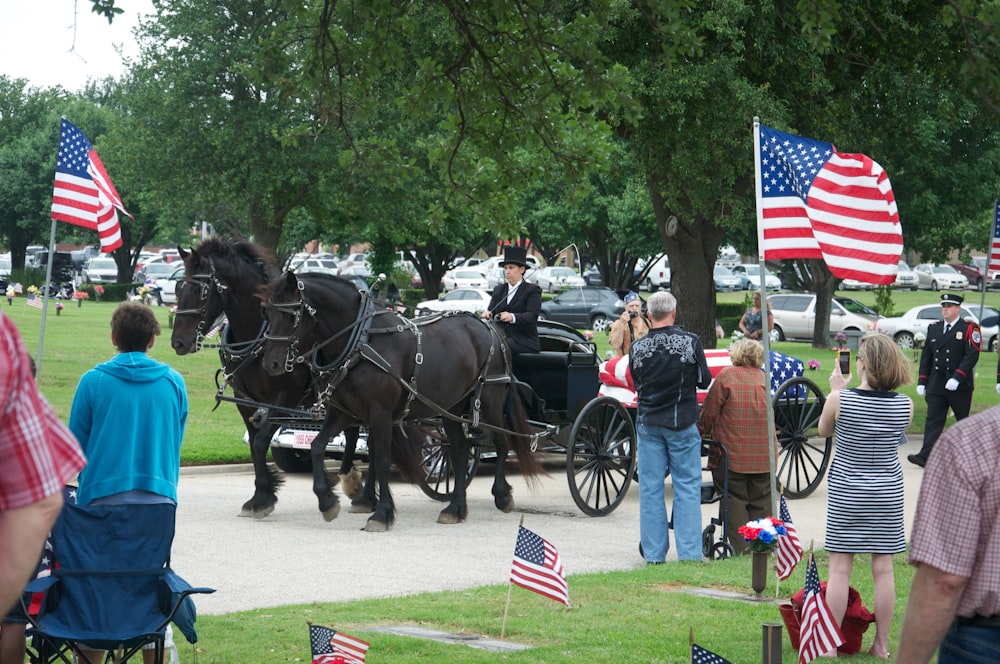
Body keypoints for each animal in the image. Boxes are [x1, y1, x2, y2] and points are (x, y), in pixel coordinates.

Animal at [168, 239, 414, 520]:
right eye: (179, 287)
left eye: (201, 290)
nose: (178, 342)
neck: (259, 333)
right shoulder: (246, 401)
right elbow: (254, 442)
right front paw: (261, 495)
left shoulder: (286, 397)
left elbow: (261, 441)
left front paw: (265, 497)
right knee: (357, 435)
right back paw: (354, 485)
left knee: (370, 443)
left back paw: (364, 495)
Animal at [258, 270, 540, 528]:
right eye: (267, 313)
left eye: (290, 315)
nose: (271, 364)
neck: (360, 340)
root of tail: (491, 326)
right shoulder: (344, 413)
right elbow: (317, 447)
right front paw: (328, 501)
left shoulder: (380, 414)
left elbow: (382, 460)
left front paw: (381, 513)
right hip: (451, 407)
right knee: (460, 449)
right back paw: (455, 507)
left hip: (490, 402)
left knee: (501, 442)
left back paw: (501, 496)